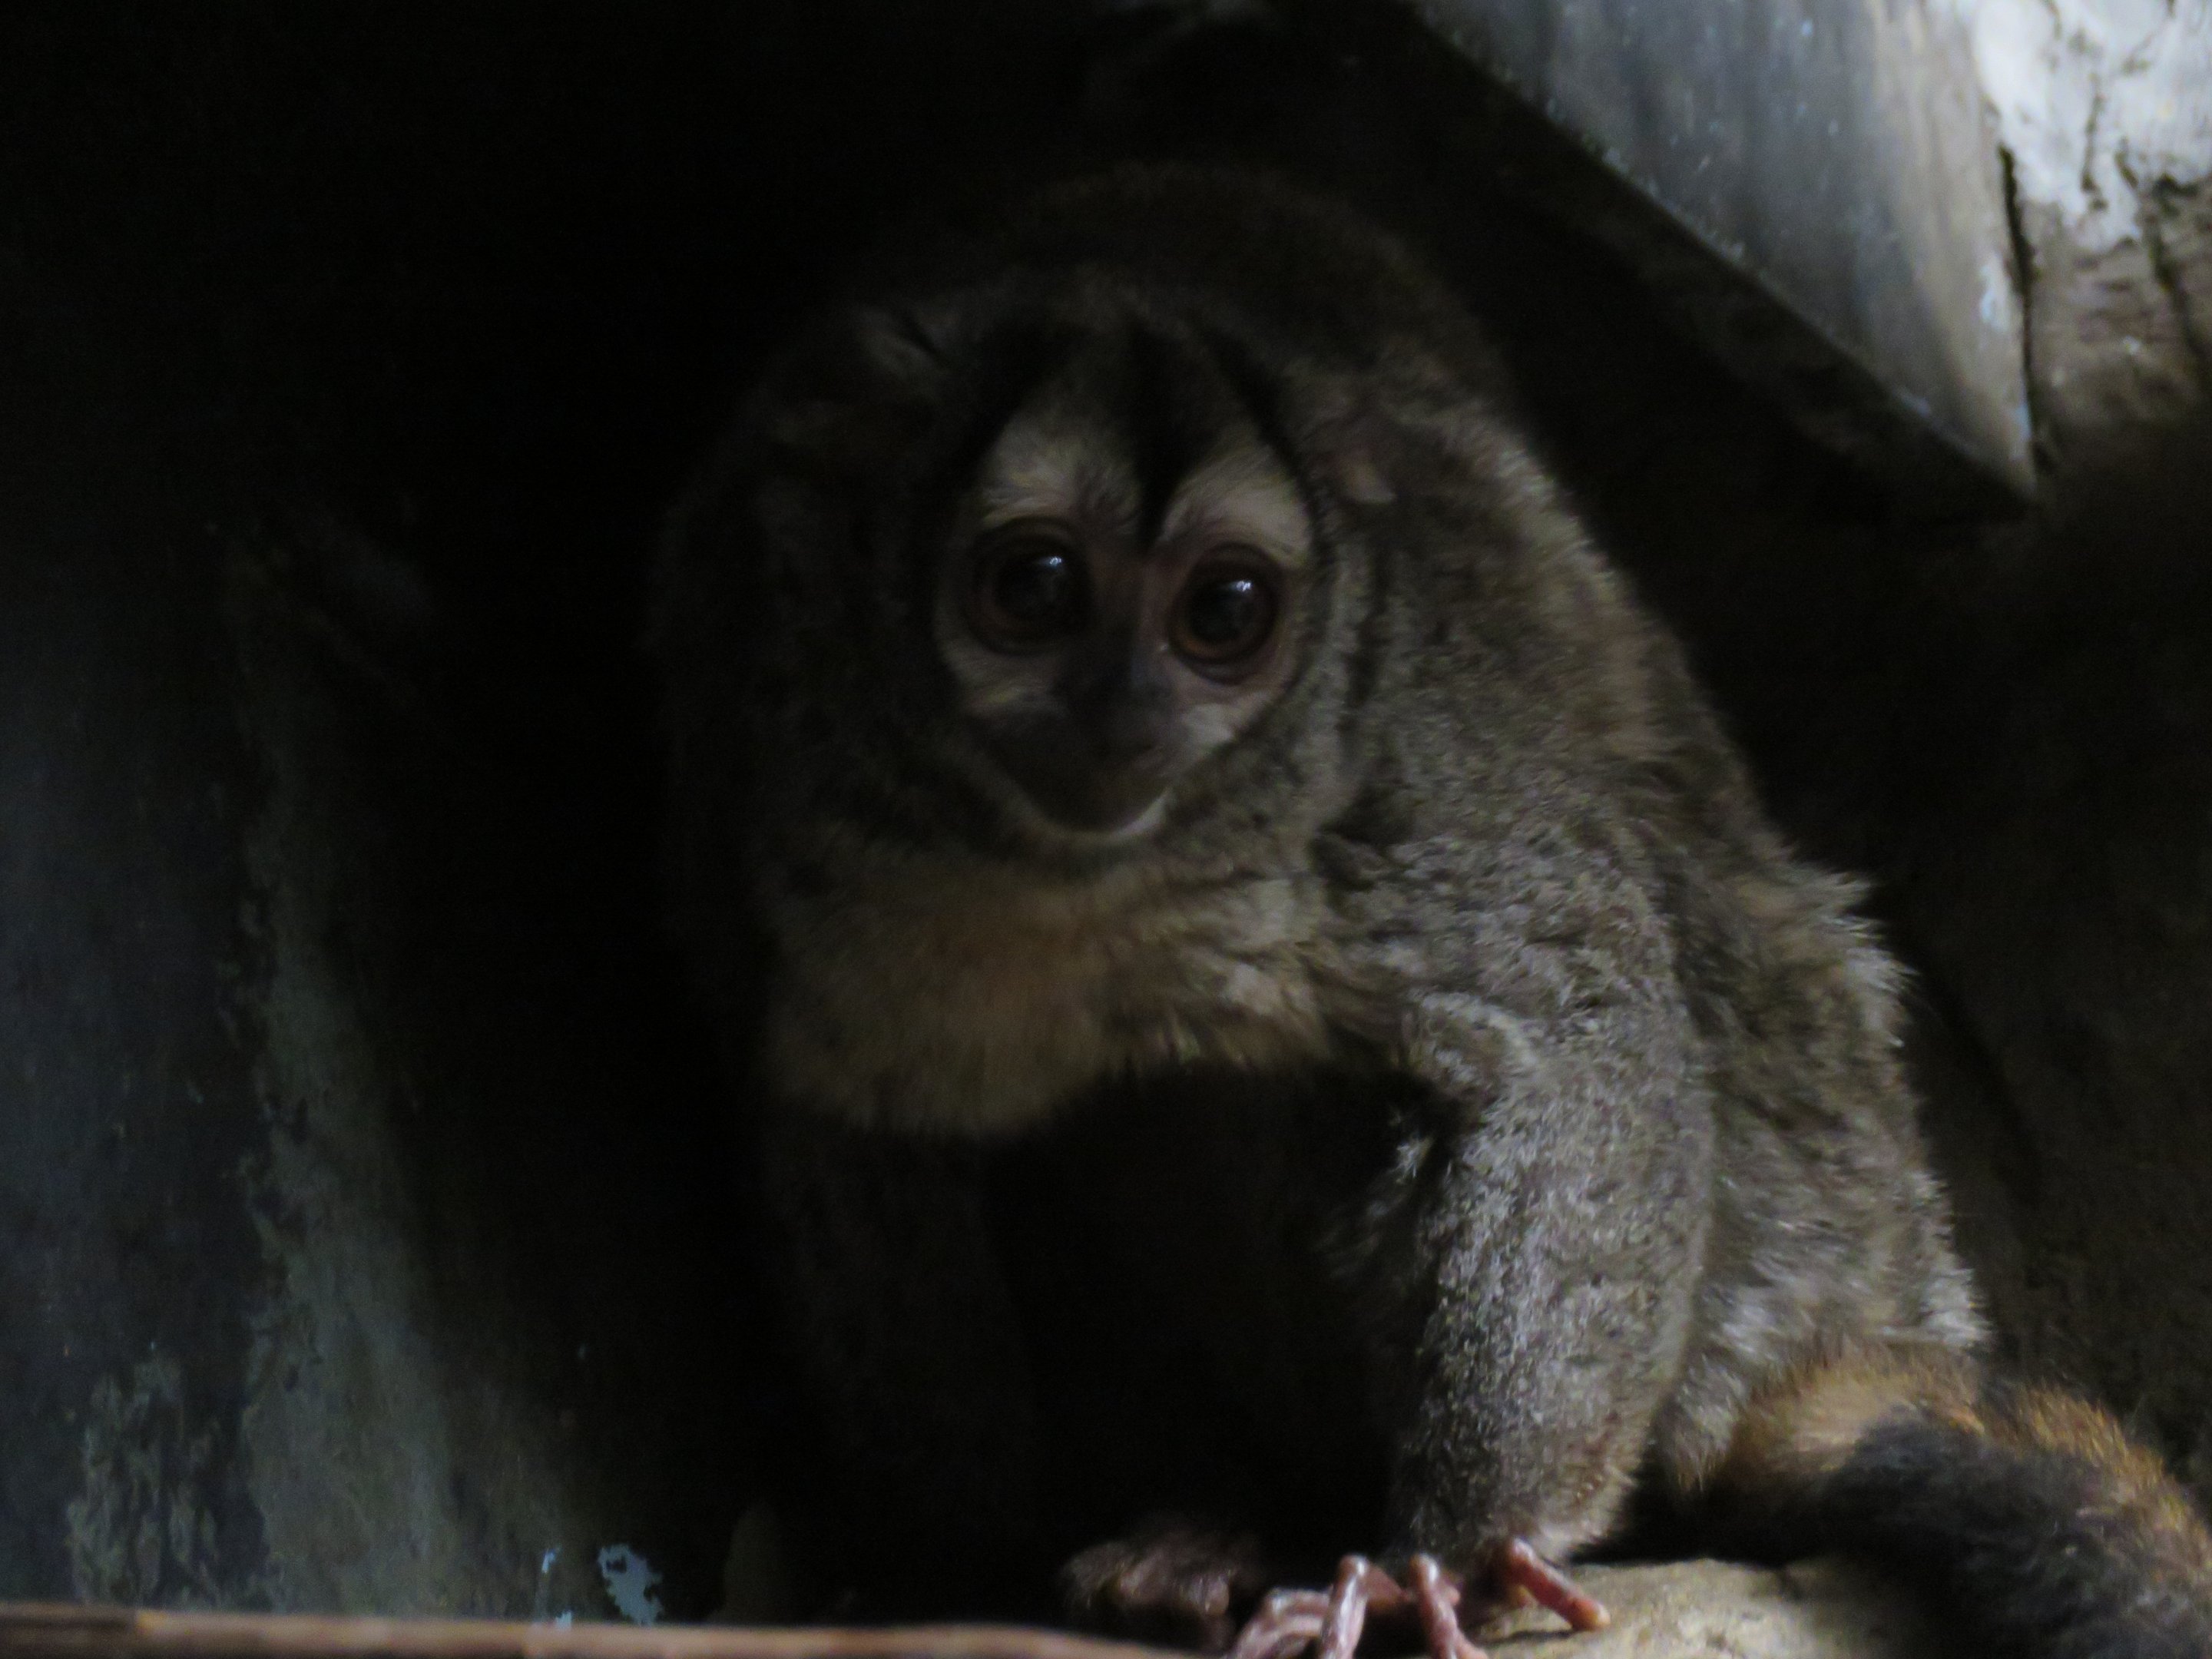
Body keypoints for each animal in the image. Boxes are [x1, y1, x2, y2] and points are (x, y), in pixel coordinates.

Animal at [653, 163, 2212, 1658]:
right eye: (1032, 586)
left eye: (1224, 611)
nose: (1124, 713)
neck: (1084, 873)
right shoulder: (743, 754)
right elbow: (843, 1127)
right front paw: (939, 1560)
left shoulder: (1414, 750)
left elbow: (1571, 1022)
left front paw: (1440, 1561)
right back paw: (1196, 1536)